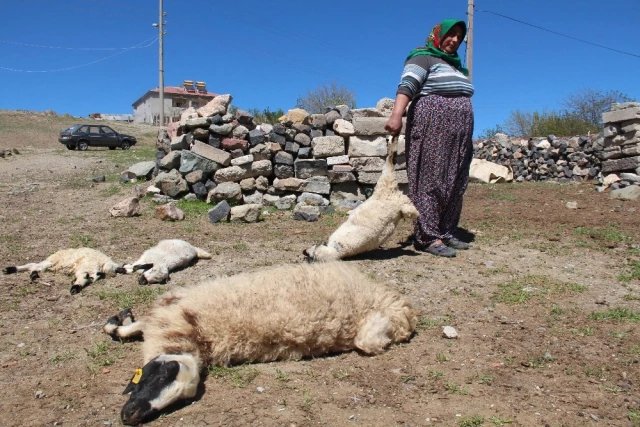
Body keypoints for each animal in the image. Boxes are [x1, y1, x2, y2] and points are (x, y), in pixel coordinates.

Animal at [102, 262, 418, 426]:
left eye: (178, 400)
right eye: (159, 375)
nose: (130, 416)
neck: (195, 334)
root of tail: (401, 305)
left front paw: (121, 320)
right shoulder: (169, 313)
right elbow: (127, 327)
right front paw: (121, 319)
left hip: (372, 328)